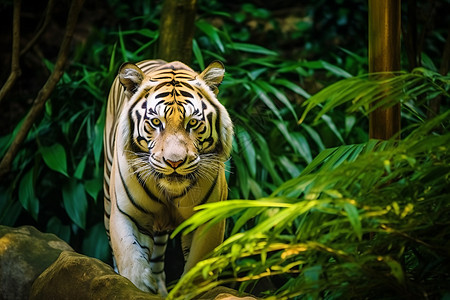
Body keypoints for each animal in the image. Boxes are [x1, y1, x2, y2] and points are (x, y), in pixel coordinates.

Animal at [103, 59, 234, 296]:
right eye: (156, 122)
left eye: (192, 123)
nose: (174, 162)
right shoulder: (126, 213)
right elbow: (129, 253)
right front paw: (138, 285)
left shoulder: (208, 219)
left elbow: (198, 264)